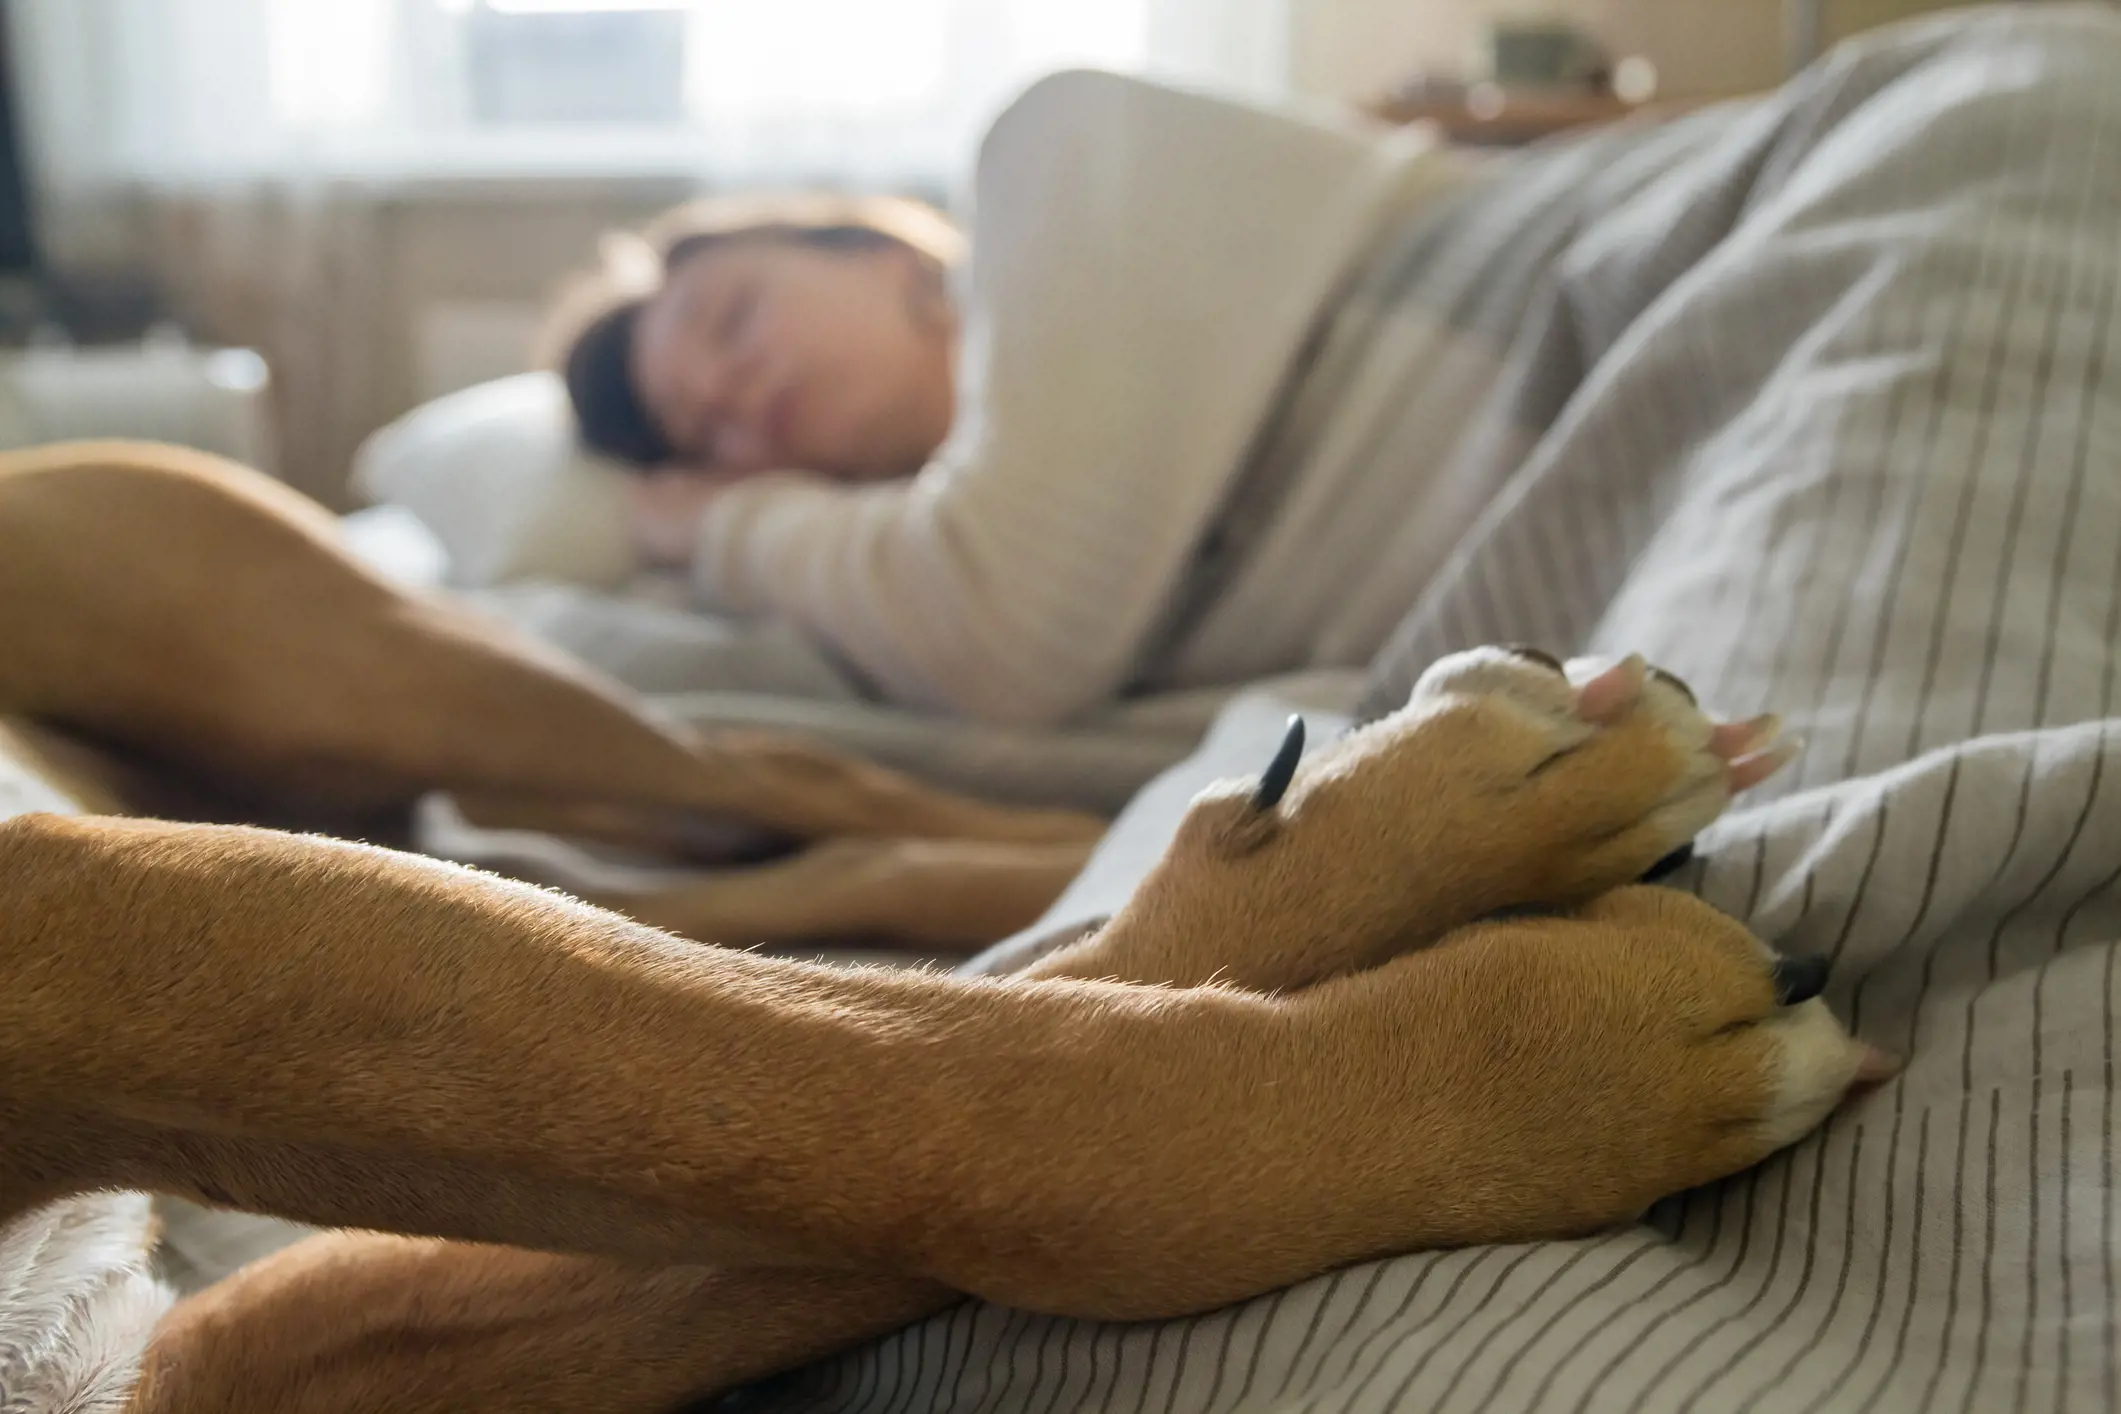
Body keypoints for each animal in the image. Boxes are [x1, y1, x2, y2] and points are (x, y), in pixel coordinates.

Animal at [0, 438, 1891, 1407]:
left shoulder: (106, 916)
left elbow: (925, 1107)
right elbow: (899, 1134)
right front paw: (1574, 1062)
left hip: (355, 667)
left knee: (788, 779)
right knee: (788, 880)